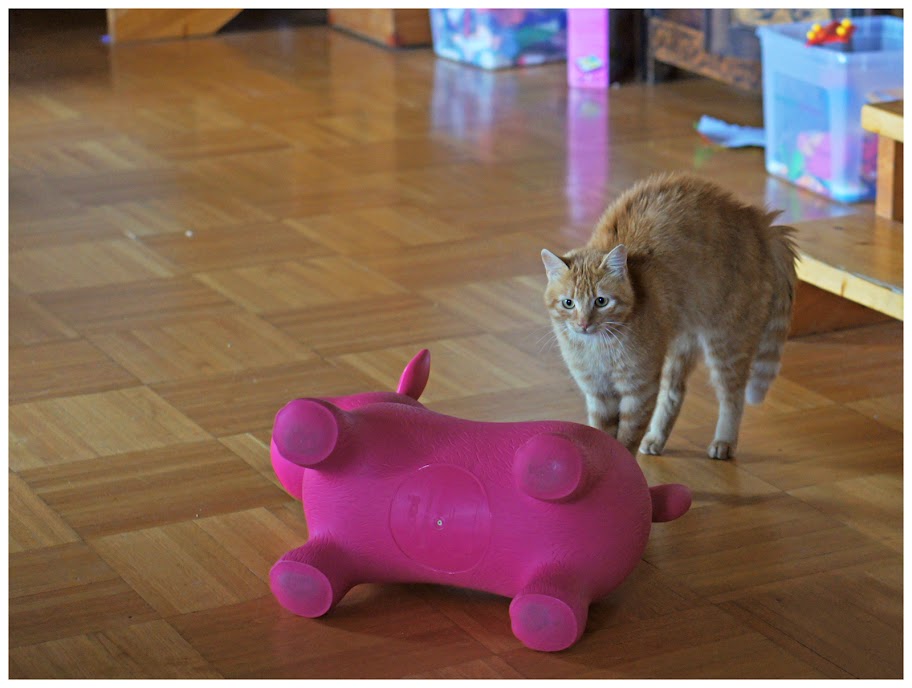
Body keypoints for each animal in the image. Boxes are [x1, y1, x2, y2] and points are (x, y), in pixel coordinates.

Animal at [541, 172, 798, 460]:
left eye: (601, 301)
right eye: (568, 303)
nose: (584, 324)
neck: (598, 349)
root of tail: (759, 222)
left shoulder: (639, 390)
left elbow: (626, 437)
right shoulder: (599, 395)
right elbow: (602, 434)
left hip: (727, 344)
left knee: (733, 396)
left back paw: (724, 441)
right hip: (679, 347)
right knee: (675, 394)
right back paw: (657, 438)